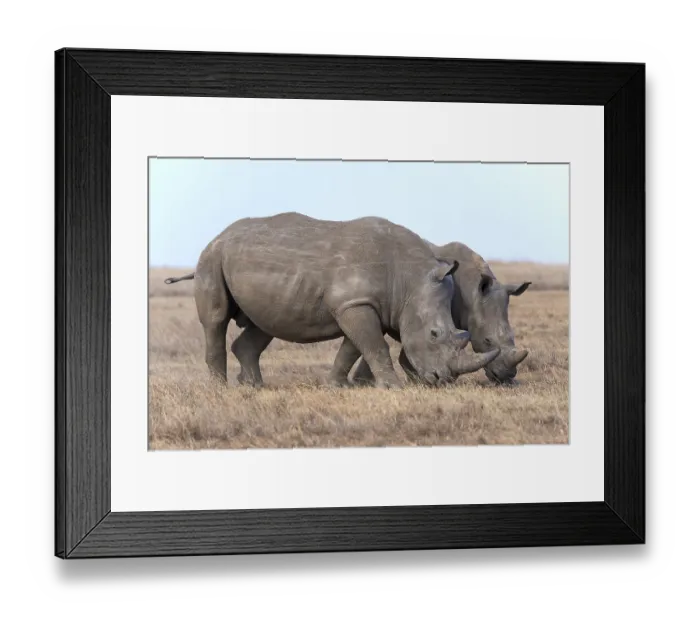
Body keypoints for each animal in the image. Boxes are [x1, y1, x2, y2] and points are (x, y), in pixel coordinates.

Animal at [164, 212, 499, 388]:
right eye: (433, 334)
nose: (442, 380)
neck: (409, 280)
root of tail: (217, 236)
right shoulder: (355, 304)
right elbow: (374, 346)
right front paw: (392, 387)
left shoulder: (357, 304)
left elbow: (353, 348)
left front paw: (337, 385)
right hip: (211, 257)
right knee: (216, 320)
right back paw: (220, 388)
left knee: (264, 324)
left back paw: (255, 386)